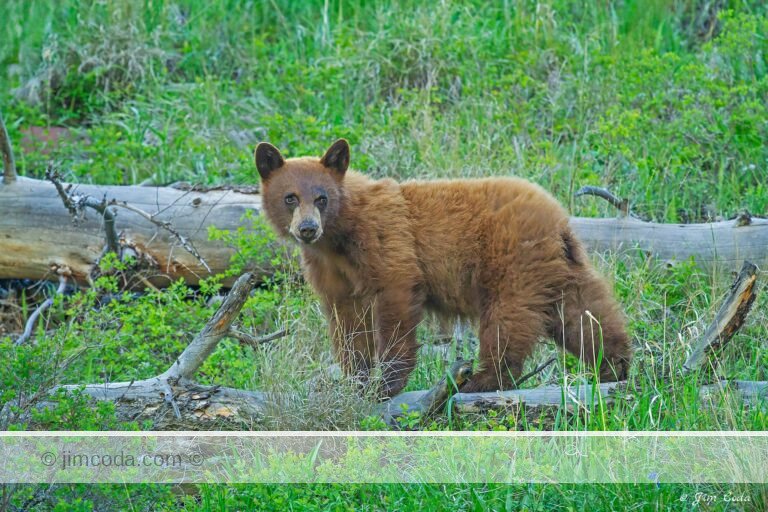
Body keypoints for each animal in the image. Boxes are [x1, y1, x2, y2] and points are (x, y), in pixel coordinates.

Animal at [255, 139, 631, 397]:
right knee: (585, 314)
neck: (339, 237)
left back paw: (482, 379)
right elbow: (348, 323)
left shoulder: (385, 241)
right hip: (560, 268)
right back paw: (616, 365)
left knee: (507, 319)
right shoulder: (332, 272)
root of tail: (558, 218)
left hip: (511, 261)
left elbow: (394, 297)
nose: (307, 228)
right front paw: (356, 381)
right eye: (290, 197)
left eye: (321, 198)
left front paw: (386, 383)